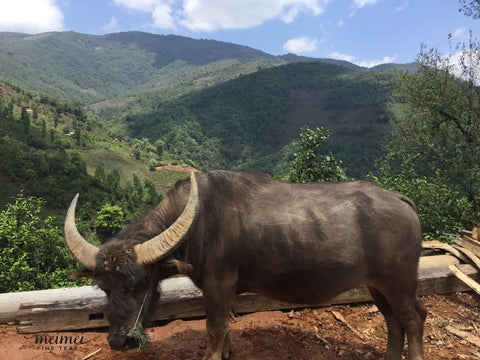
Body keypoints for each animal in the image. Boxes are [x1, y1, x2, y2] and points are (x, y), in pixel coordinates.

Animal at [62, 170, 424, 358]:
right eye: (103, 288)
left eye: (137, 284)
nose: (117, 341)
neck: (199, 224)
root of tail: (401, 200)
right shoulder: (222, 292)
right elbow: (225, 332)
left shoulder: (218, 286)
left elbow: (214, 330)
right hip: (377, 286)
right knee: (394, 322)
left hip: (400, 284)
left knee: (414, 319)